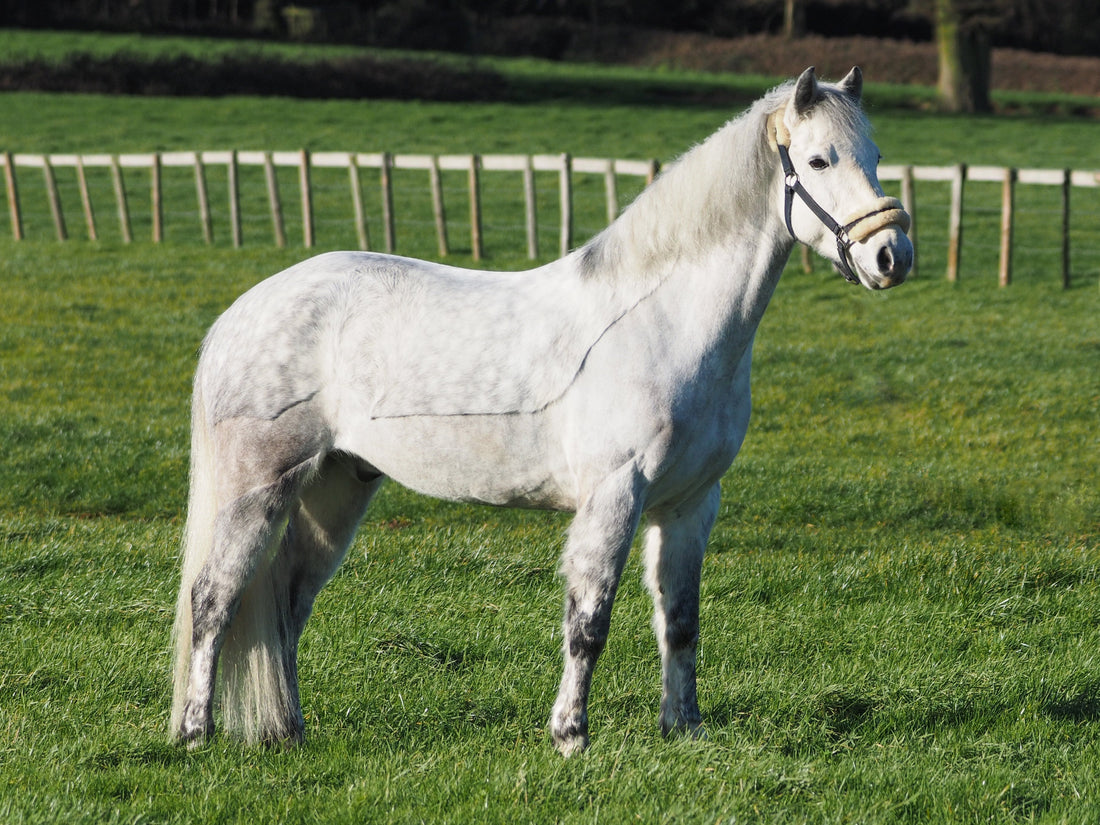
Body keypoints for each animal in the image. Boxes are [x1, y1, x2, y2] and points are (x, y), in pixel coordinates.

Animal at [171, 66, 913, 755]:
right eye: (818, 160)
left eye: (874, 155)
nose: (891, 255)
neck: (662, 319)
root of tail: (243, 312)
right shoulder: (614, 494)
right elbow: (589, 622)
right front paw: (571, 735)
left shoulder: (689, 505)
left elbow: (680, 621)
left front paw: (684, 730)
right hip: (257, 488)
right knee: (214, 598)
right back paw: (195, 734)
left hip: (335, 488)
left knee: (287, 604)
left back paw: (289, 731)